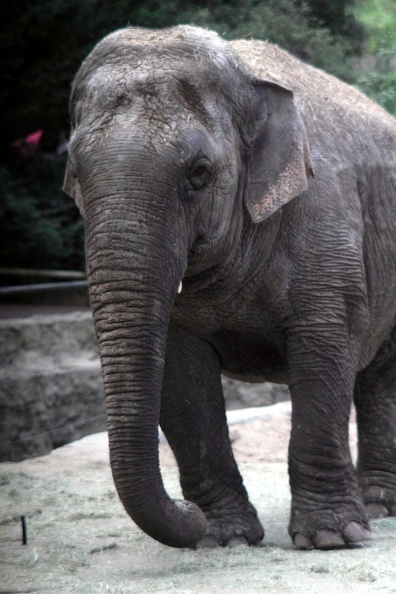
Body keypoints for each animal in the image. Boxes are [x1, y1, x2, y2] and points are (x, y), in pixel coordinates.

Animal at [63, 25, 396, 548]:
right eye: (74, 171)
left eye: (199, 172)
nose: (188, 512)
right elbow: (180, 376)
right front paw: (223, 536)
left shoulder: (325, 221)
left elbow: (324, 351)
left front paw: (332, 537)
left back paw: (380, 510)